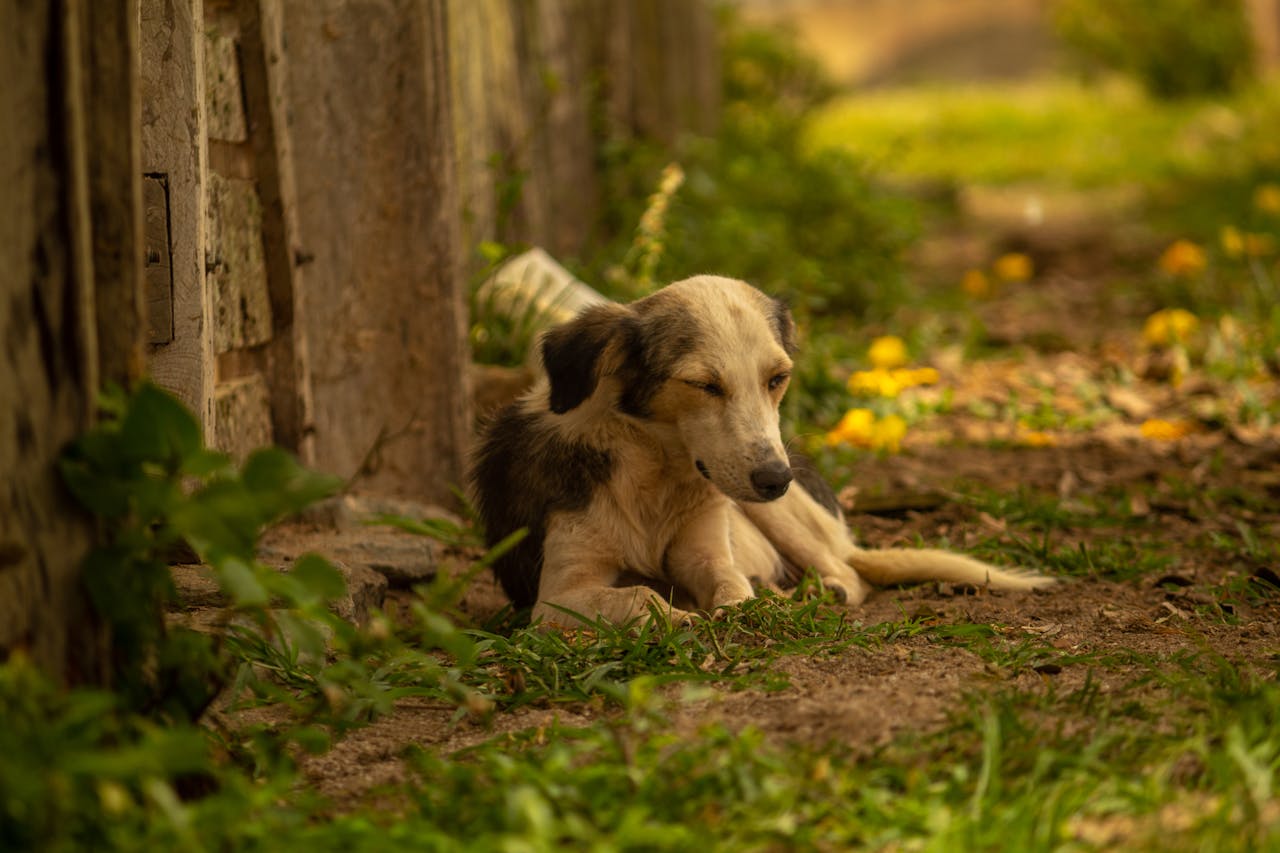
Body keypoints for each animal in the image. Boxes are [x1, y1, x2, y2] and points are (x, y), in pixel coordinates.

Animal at [471, 274, 1049, 625]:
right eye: (704, 385)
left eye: (777, 379)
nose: (776, 479)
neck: (656, 476)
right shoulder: (556, 598)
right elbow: (640, 594)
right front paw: (678, 618)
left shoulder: (706, 549)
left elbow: (729, 583)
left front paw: (740, 609)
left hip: (779, 515)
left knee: (850, 575)